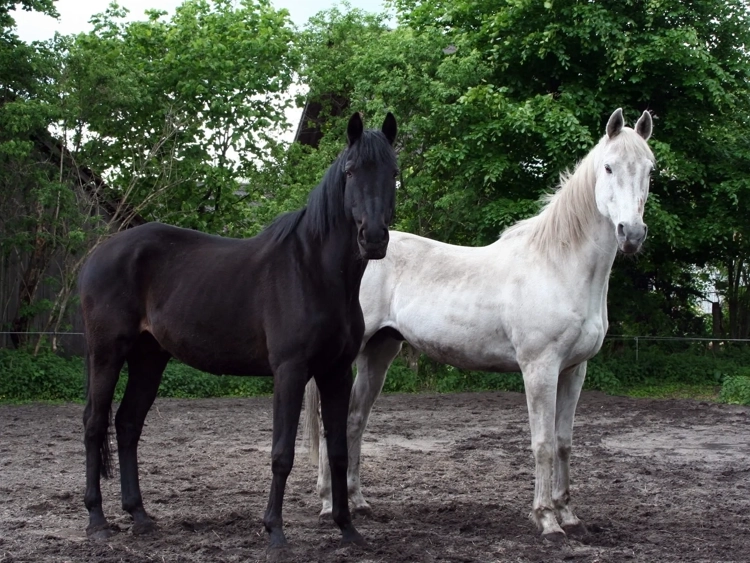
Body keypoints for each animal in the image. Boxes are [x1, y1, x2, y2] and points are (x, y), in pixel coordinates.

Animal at [79, 112, 399, 553]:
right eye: (351, 171)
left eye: (394, 173)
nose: (374, 238)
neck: (313, 271)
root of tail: (100, 253)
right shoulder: (290, 371)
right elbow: (281, 454)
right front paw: (275, 533)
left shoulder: (335, 371)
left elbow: (337, 451)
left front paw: (348, 529)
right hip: (107, 352)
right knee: (95, 423)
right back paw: (97, 520)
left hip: (149, 357)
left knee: (127, 425)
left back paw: (139, 516)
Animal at [305, 108, 654, 542]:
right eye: (608, 167)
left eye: (650, 169)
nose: (632, 233)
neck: (558, 265)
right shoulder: (540, 368)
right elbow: (541, 443)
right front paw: (546, 519)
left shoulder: (575, 370)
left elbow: (563, 442)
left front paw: (569, 515)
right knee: (330, 421)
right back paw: (326, 505)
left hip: (379, 351)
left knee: (354, 420)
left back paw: (357, 502)